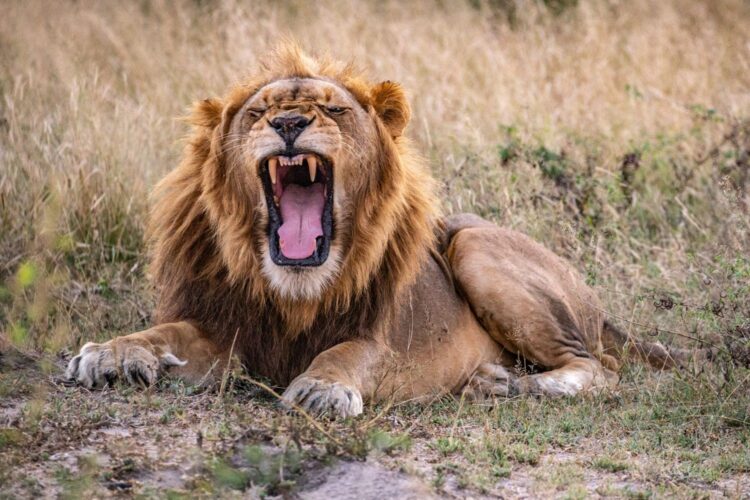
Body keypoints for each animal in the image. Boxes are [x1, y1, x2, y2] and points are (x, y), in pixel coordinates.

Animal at [65, 44, 695, 417]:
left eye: (333, 110)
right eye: (259, 113)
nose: (288, 122)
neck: (295, 290)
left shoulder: (383, 339)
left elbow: (347, 354)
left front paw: (321, 388)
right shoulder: (227, 328)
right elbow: (163, 332)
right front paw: (110, 354)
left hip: (473, 245)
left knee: (598, 368)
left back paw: (503, 384)